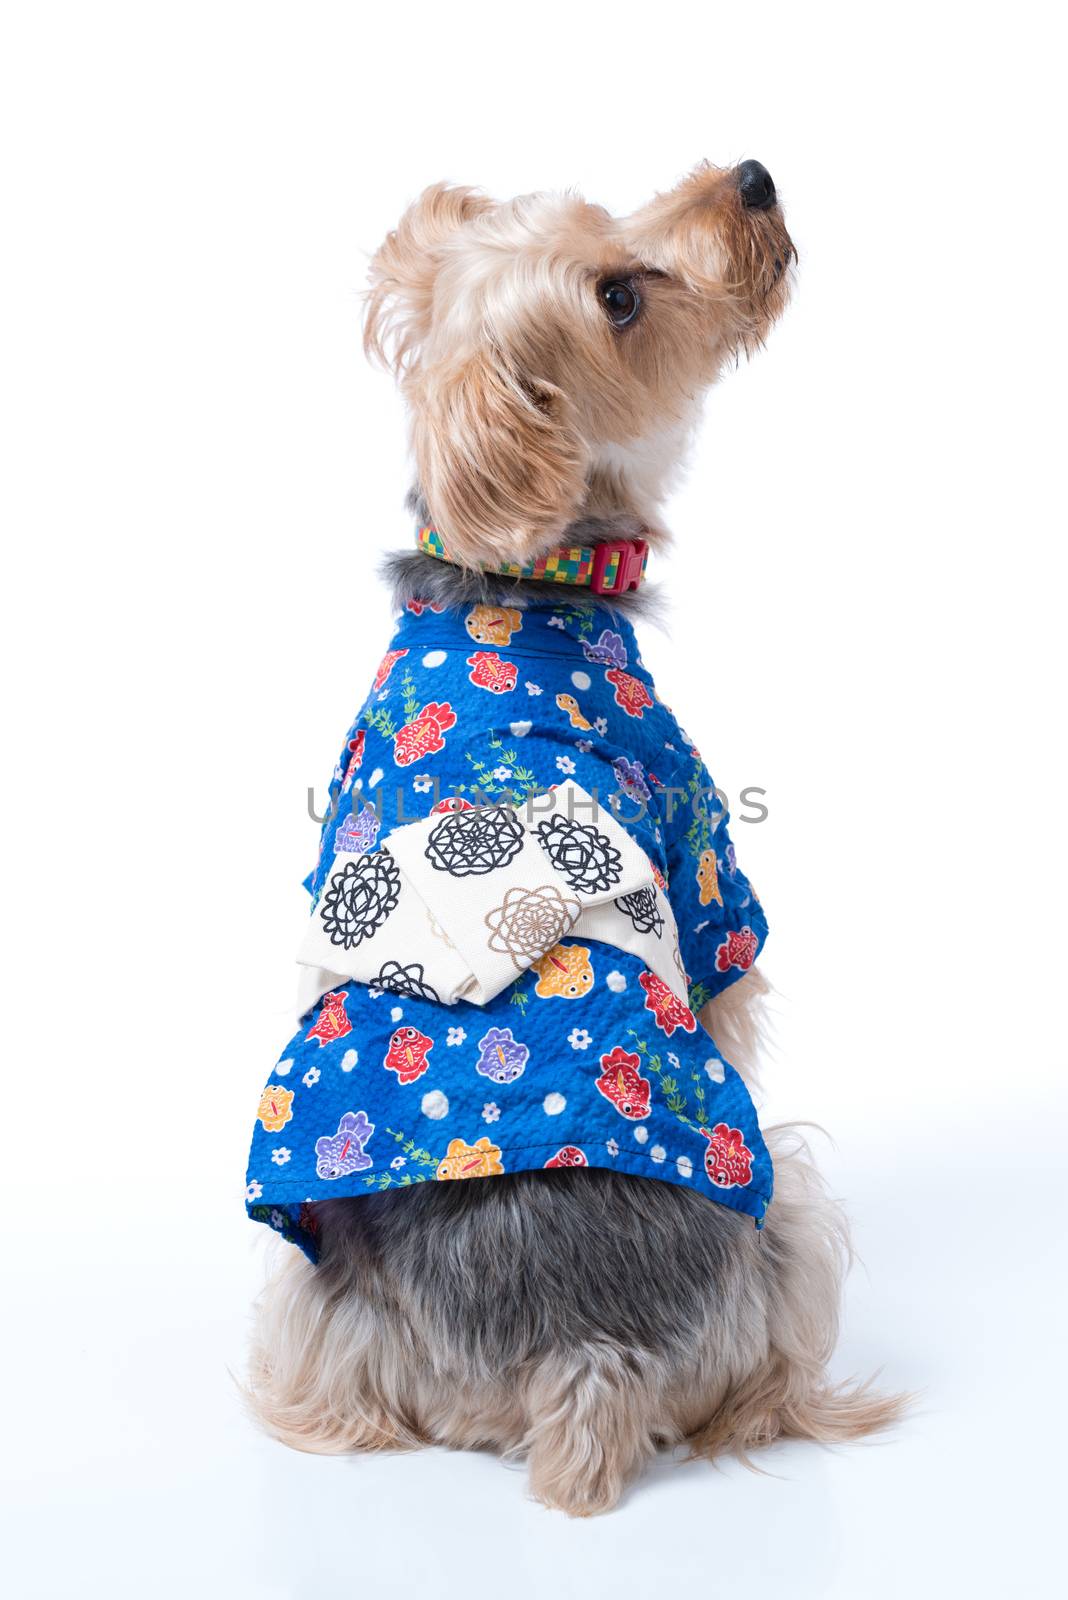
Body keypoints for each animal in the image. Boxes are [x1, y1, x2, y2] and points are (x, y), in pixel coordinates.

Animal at [244, 162, 901, 1510]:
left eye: (610, 216)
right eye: (619, 298)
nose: (752, 177)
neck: (521, 577)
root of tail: (581, 1355)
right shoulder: (710, 870)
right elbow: (726, 980)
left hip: (317, 1300)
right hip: (784, 1225)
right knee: (765, 1375)